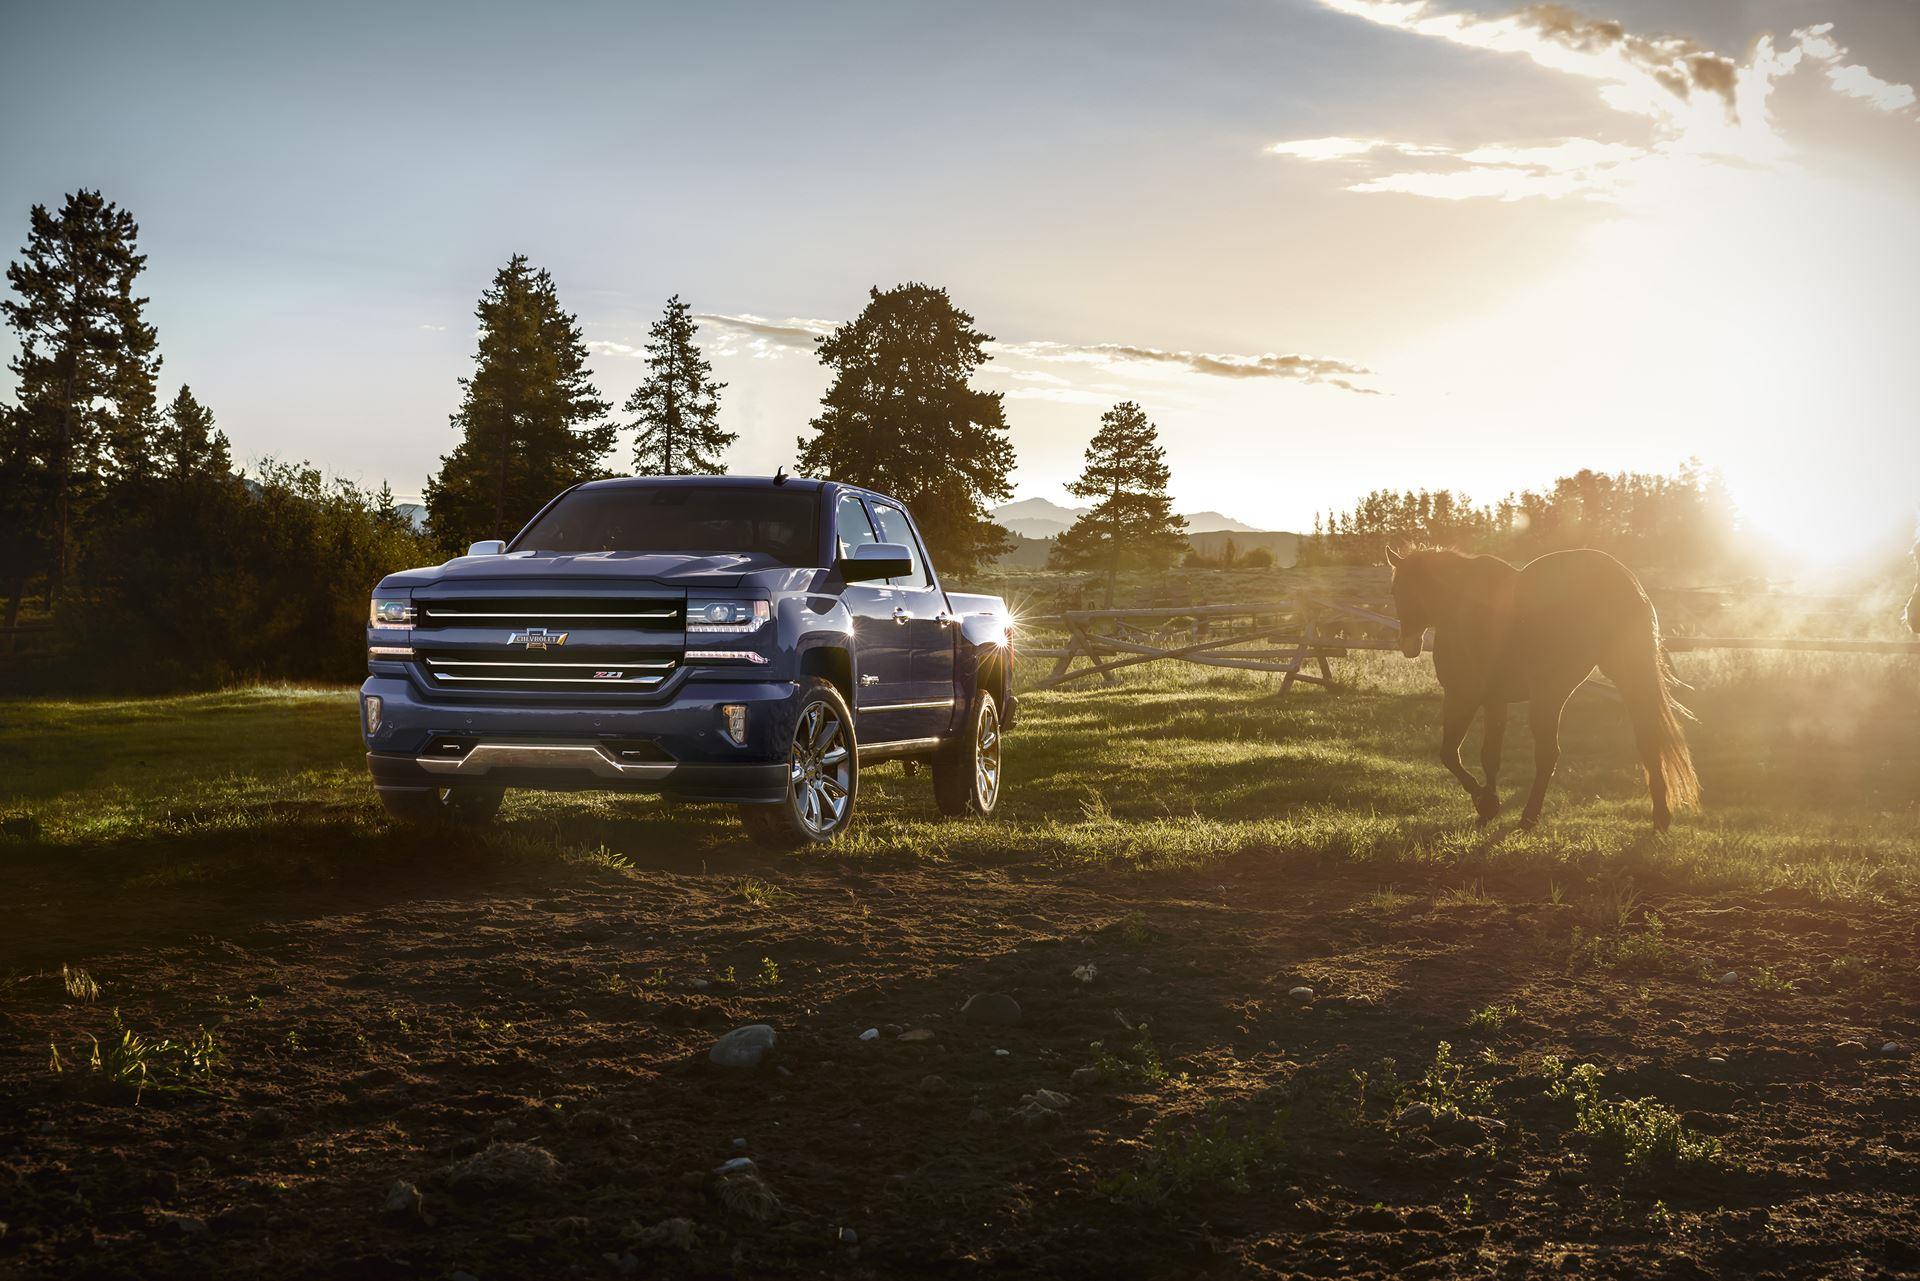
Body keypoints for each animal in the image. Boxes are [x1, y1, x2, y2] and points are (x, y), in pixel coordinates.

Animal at [1390, 549, 1704, 833]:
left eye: (1396, 592)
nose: (1407, 644)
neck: (1461, 606)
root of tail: (1625, 584)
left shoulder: (1462, 695)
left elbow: (1449, 754)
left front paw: (1485, 803)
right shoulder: (1495, 700)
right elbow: (1489, 756)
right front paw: (1489, 805)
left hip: (1550, 693)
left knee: (1547, 753)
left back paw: (1529, 817)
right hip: (1625, 680)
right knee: (1648, 740)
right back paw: (1660, 817)